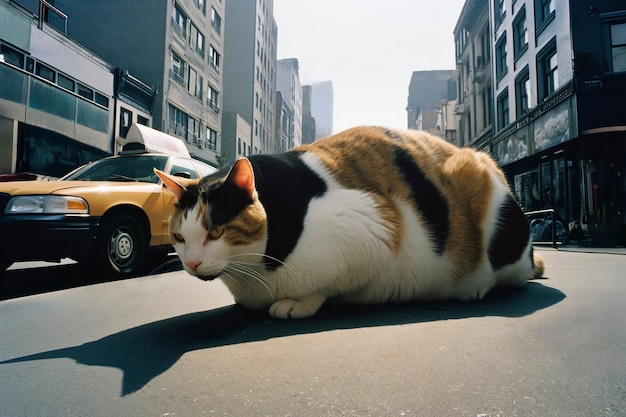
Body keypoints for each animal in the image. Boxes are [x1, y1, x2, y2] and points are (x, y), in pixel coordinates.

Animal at [155, 127, 540, 318]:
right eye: (179, 237)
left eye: (216, 231)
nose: (192, 263)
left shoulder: (371, 229)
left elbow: (324, 284)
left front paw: (299, 303)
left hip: (480, 178)